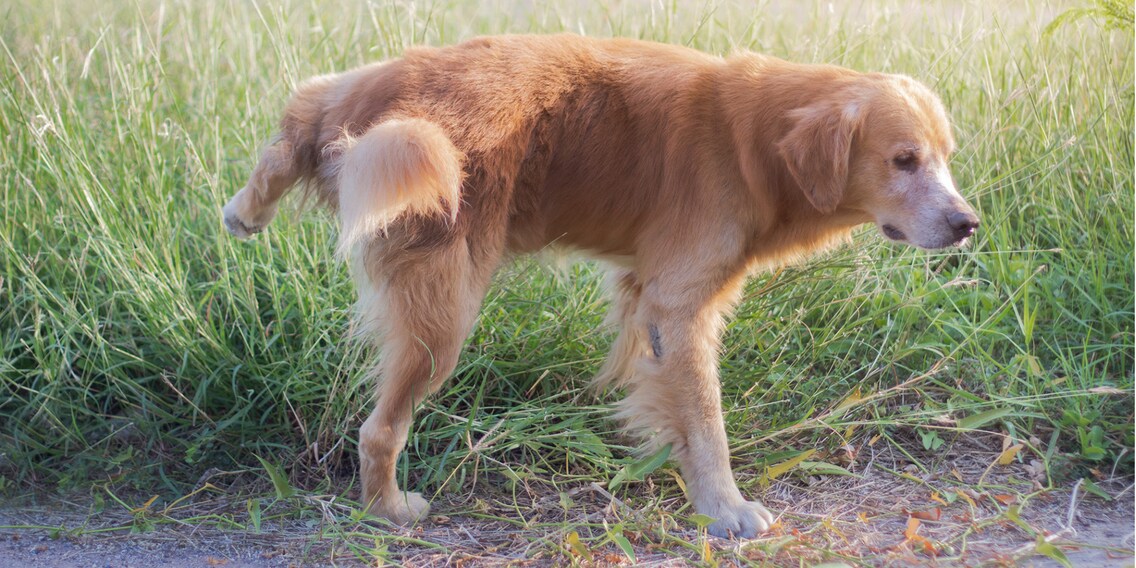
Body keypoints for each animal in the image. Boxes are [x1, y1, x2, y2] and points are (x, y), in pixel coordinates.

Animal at [219, 33, 976, 538]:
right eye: (904, 160)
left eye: (944, 158)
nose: (968, 224)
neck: (750, 140)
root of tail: (397, 108)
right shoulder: (680, 305)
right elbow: (707, 421)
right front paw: (726, 508)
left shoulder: (649, 296)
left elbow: (672, 408)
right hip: (444, 317)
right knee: (379, 430)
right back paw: (387, 509)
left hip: (358, 100)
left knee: (303, 107)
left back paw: (245, 209)